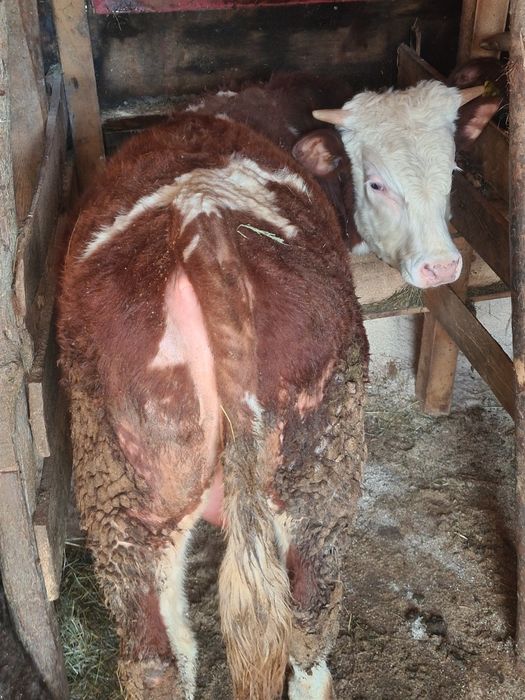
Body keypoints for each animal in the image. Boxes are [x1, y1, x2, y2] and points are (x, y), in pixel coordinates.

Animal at [57, 73, 495, 700]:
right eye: (376, 182)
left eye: (452, 168)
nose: (441, 266)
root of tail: (203, 226)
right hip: (320, 467)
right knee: (308, 625)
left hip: (130, 492)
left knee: (159, 657)